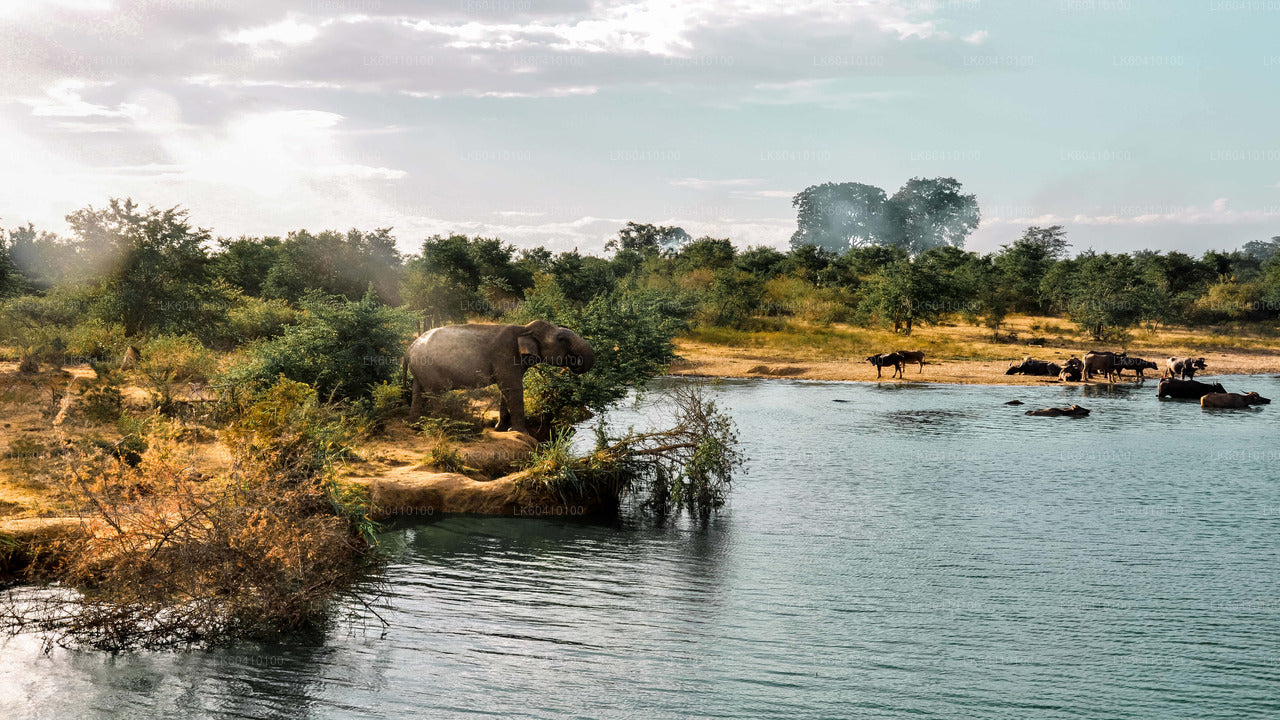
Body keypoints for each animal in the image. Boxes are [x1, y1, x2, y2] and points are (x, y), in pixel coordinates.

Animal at [401, 317, 596, 430]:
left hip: (420, 370)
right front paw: (519, 432)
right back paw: (439, 425)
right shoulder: (505, 356)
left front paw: (499, 428)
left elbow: (505, 390)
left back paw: (413, 424)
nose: (573, 364)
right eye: (561, 339)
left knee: (418, 392)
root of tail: (409, 349)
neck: (524, 328)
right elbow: (512, 389)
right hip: (429, 369)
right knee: (435, 394)